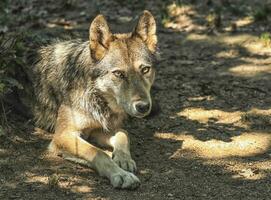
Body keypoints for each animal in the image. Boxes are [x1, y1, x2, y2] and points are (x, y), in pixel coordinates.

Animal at [33, 10, 158, 189]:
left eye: (145, 70)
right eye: (119, 74)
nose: (143, 106)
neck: (95, 96)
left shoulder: (95, 131)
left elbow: (123, 133)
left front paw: (123, 159)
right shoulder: (63, 135)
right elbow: (97, 152)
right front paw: (121, 175)